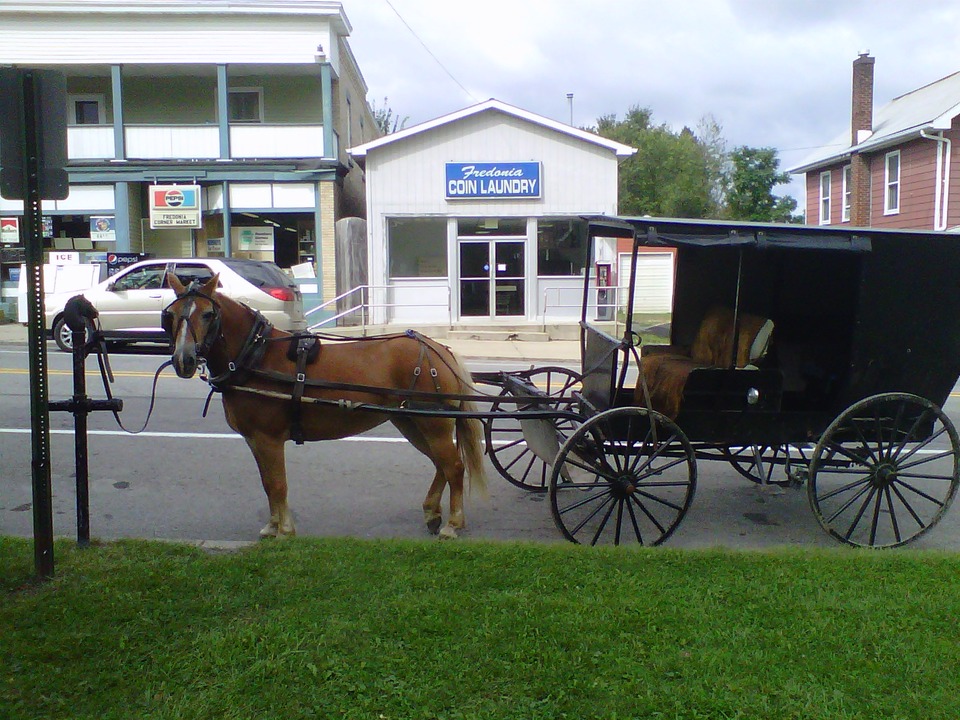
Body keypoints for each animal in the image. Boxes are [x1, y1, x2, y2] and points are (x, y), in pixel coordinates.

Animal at [163, 272, 487, 540]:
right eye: (172, 314)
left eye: (208, 314)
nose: (184, 360)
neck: (255, 356)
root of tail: (440, 349)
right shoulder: (254, 439)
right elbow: (267, 483)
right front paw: (271, 526)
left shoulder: (268, 438)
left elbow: (277, 484)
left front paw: (284, 530)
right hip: (410, 422)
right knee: (441, 465)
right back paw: (432, 512)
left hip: (433, 425)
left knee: (454, 466)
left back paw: (453, 523)